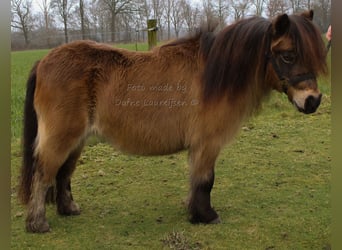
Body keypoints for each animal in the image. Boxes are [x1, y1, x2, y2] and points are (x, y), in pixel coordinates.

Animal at [19, 9, 328, 232]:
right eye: (288, 55)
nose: (313, 100)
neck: (216, 75)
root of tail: (43, 61)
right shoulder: (208, 142)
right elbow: (206, 179)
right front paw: (206, 215)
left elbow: (196, 179)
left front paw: (192, 209)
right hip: (61, 137)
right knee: (43, 173)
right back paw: (38, 223)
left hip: (76, 140)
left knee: (63, 173)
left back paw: (68, 209)